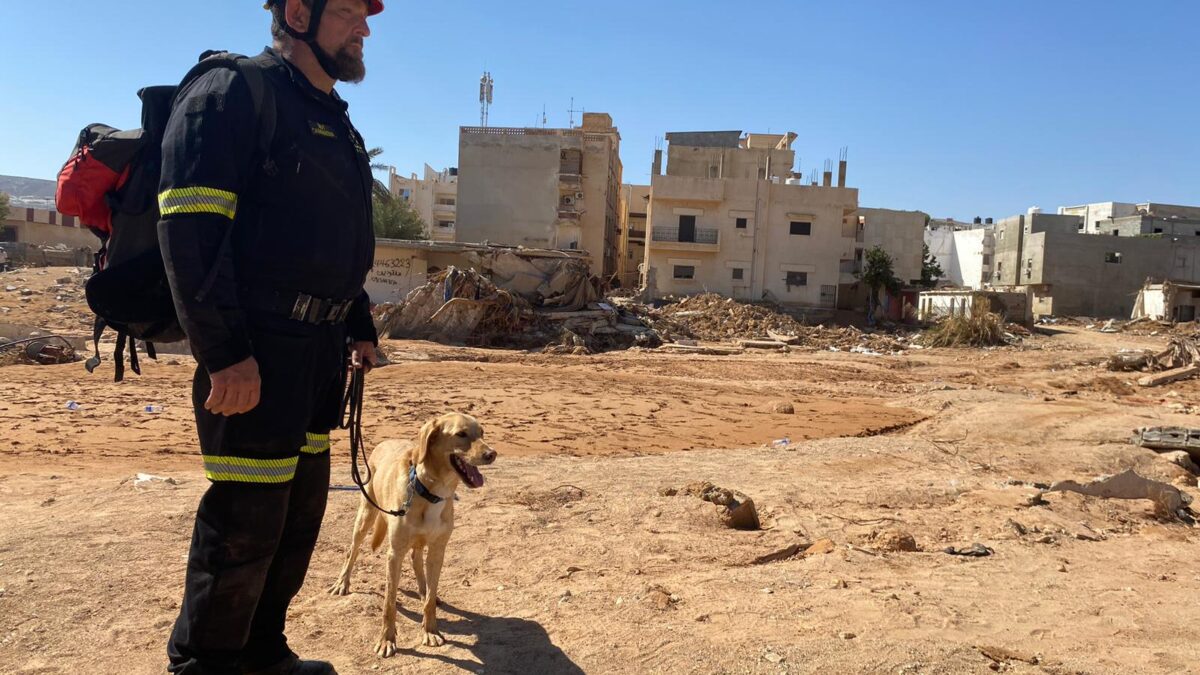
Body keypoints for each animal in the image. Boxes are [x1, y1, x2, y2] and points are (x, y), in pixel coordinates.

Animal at [328, 413, 496, 653]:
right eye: (461, 434)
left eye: (482, 433)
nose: (492, 454)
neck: (429, 490)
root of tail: (386, 441)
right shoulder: (394, 554)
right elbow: (389, 603)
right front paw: (386, 640)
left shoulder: (438, 551)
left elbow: (429, 601)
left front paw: (430, 631)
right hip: (365, 517)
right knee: (352, 551)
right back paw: (343, 583)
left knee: (417, 560)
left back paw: (424, 591)